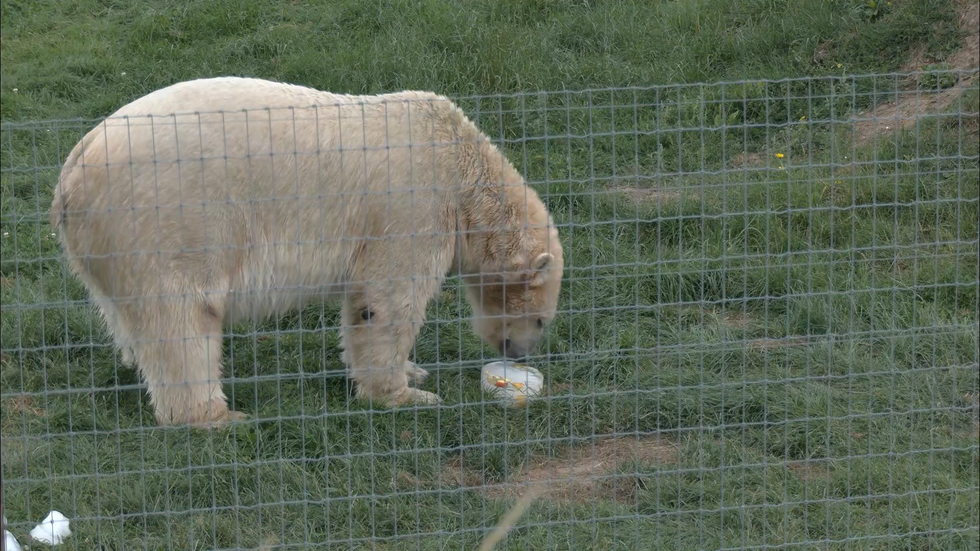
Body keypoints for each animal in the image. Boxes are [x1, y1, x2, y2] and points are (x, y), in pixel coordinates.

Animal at [49, 76, 564, 426]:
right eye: (541, 319)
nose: (519, 355)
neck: (460, 165)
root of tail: (73, 169)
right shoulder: (411, 208)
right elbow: (387, 301)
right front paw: (406, 395)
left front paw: (414, 372)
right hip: (168, 222)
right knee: (182, 318)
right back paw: (217, 417)